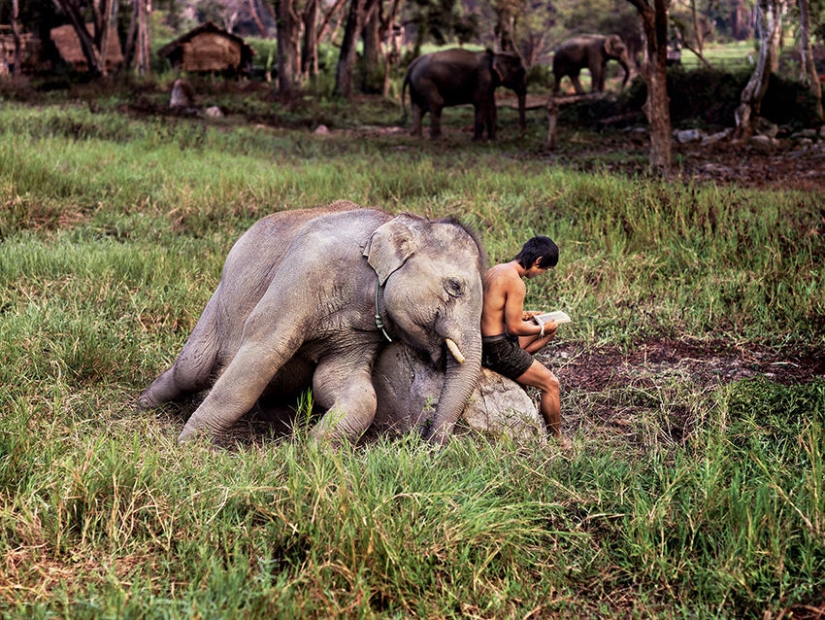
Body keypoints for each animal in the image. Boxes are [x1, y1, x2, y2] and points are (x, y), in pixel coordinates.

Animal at [138, 200, 486, 446]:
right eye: (455, 286)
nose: (428, 443)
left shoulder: (362, 332)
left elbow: (346, 385)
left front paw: (314, 450)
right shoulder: (305, 269)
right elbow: (263, 351)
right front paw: (190, 446)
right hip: (220, 299)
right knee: (193, 368)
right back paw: (144, 403)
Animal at [400, 48, 528, 142]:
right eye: (521, 72)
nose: (519, 136)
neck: (495, 55)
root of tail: (411, 66)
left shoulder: (489, 82)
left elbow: (491, 105)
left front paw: (494, 140)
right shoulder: (483, 77)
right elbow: (481, 102)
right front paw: (478, 141)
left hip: (416, 85)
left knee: (418, 108)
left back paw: (416, 137)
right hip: (425, 82)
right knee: (437, 104)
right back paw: (439, 139)